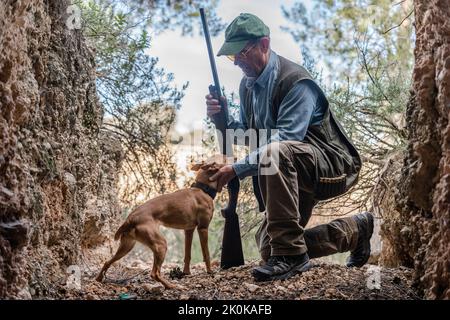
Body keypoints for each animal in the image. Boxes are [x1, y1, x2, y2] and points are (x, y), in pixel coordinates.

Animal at [96, 154, 232, 288]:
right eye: (223, 158)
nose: (230, 156)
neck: (203, 189)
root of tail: (131, 218)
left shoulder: (188, 230)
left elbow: (187, 255)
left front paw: (186, 273)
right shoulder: (203, 228)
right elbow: (206, 254)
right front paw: (210, 272)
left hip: (127, 246)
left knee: (107, 262)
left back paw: (99, 279)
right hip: (160, 244)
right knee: (154, 273)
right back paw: (171, 286)